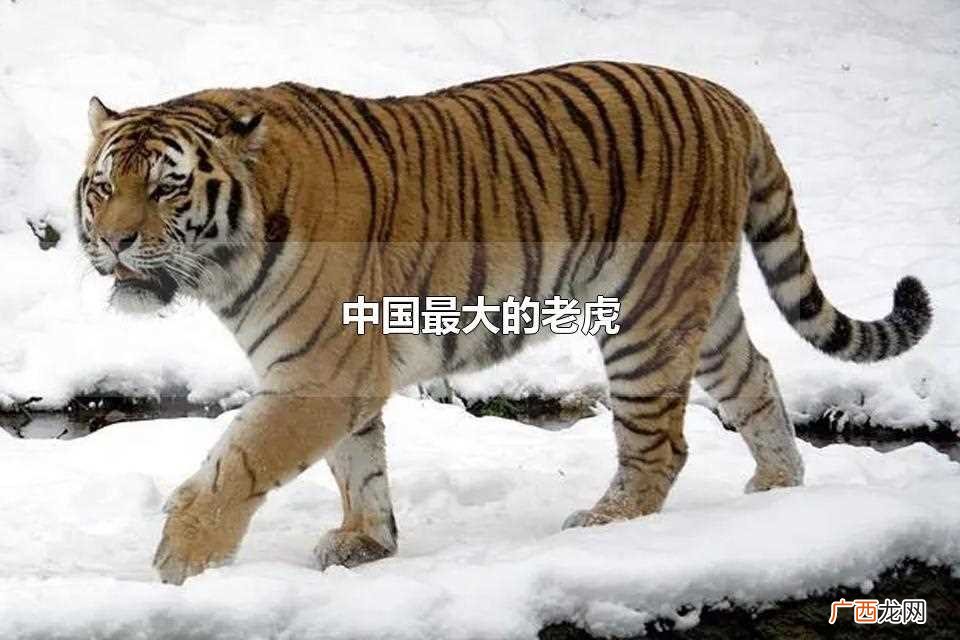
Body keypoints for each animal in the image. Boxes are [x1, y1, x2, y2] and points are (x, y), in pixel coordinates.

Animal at [76, 61, 932, 585]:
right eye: (103, 187)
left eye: (167, 188)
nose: (113, 241)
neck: (229, 255)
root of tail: (731, 100)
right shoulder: (338, 374)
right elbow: (359, 465)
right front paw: (367, 543)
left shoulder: (317, 373)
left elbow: (238, 464)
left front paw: (180, 564)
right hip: (703, 307)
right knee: (754, 379)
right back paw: (776, 491)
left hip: (644, 319)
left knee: (662, 443)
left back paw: (606, 523)